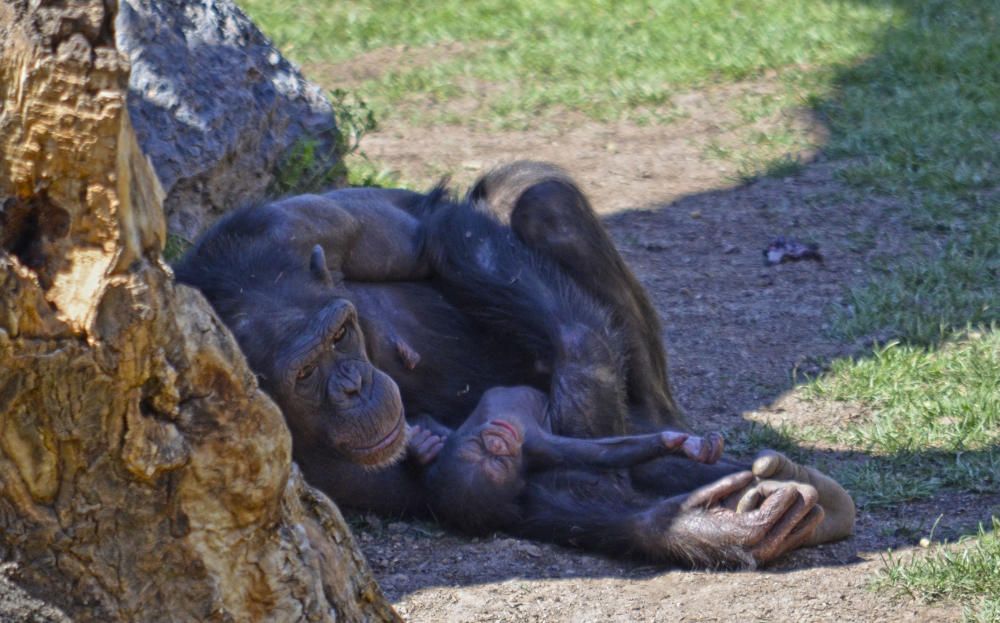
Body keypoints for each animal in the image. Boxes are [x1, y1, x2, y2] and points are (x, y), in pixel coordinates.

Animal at [176, 162, 856, 572]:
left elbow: (432, 232)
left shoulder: (295, 223)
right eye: (305, 374)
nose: (351, 385)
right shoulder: (279, 462)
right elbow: (486, 495)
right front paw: (703, 526)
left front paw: (585, 397)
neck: (243, 286)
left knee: (533, 197)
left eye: (340, 336)